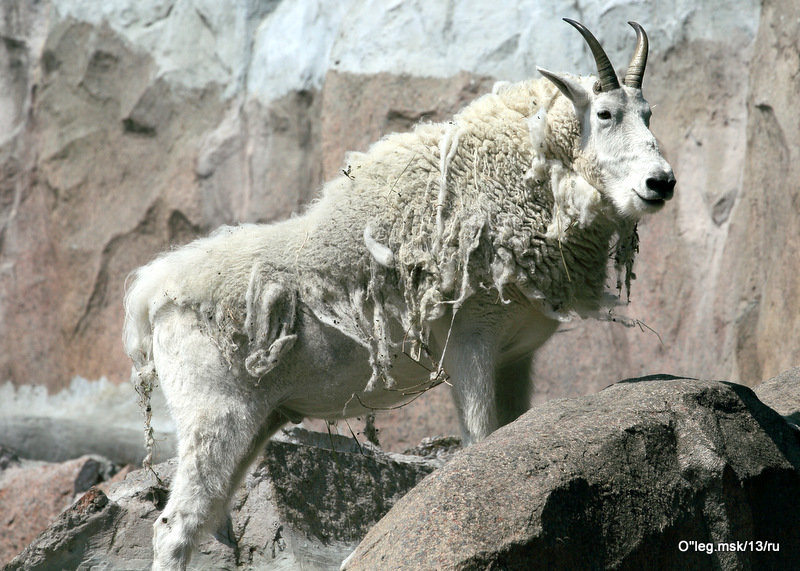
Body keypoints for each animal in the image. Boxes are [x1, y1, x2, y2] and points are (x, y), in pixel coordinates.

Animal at [125, 19, 676, 571]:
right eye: (604, 114)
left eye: (649, 113)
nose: (661, 183)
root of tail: (151, 299)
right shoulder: (469, 344)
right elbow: (479, 442)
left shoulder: (514, 358)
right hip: (215, 412)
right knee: (175, 527)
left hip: (257, 421)